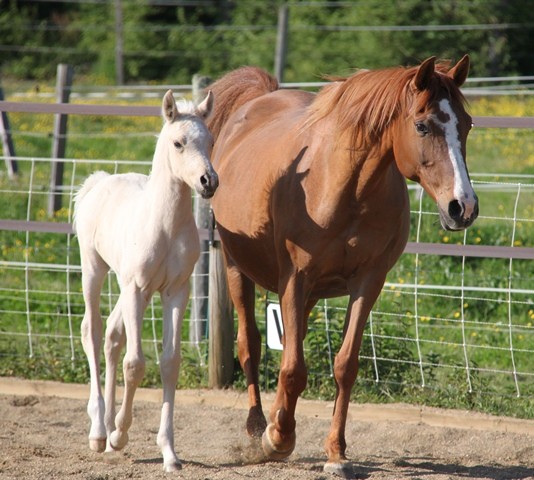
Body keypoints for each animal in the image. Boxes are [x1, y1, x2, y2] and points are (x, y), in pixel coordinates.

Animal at [73, 90, 218, 472]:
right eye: (178, 143)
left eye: (210, 141)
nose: (208, 182)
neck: (165, 226)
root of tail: (99, 181)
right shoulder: (138, 290)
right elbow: (135, 363)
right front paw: (119, 435)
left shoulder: (175, 292)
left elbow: (169, 363)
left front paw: (169, 453)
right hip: (95, 270)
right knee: (93, 332)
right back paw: (99, 431)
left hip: (127, 289)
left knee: (112, 335)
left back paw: (107, 428)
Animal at [207, 57, 480, 476]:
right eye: (422, 125)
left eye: (466, 124)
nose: (462, 206)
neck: (341, 186)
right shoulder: (295, 279)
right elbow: (292, 368)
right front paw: (277, 439)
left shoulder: (368, 283)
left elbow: (344, 366)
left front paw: (335, 453)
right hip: (237, 267)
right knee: (249, 344)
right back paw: (259, 426)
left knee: (290, 345)